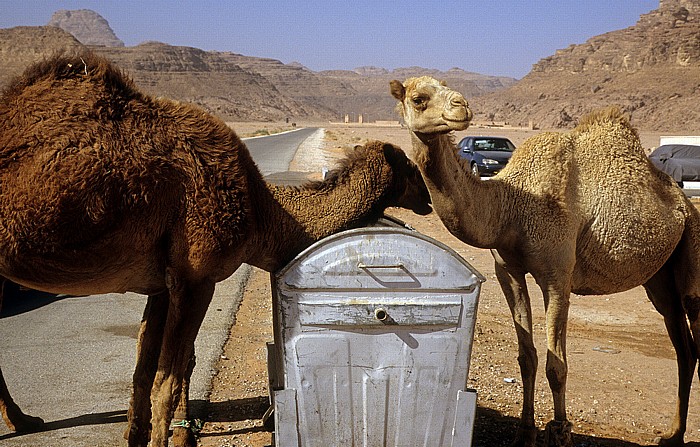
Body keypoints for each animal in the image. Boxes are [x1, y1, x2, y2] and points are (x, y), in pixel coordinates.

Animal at [0, 52, 432, 447]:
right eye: (411, 169)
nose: (429, 199)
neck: (262, 212)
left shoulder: (162, 282)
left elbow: (144, 370)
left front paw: (136, 435)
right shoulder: (197, 277)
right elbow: (169, 380)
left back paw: (24, 420)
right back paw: (22, 421)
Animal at [392, 75, 700, 446]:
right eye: (418, 98)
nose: (461, 106)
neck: (509, 206)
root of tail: (684, 201)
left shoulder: (557, 275)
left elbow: (557, 365)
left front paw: (561, 431)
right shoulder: (508, 271)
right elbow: (528, 357)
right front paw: (525, 432)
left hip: (694, 246)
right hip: (660, 277)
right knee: (684, 347)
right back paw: (672, 434)